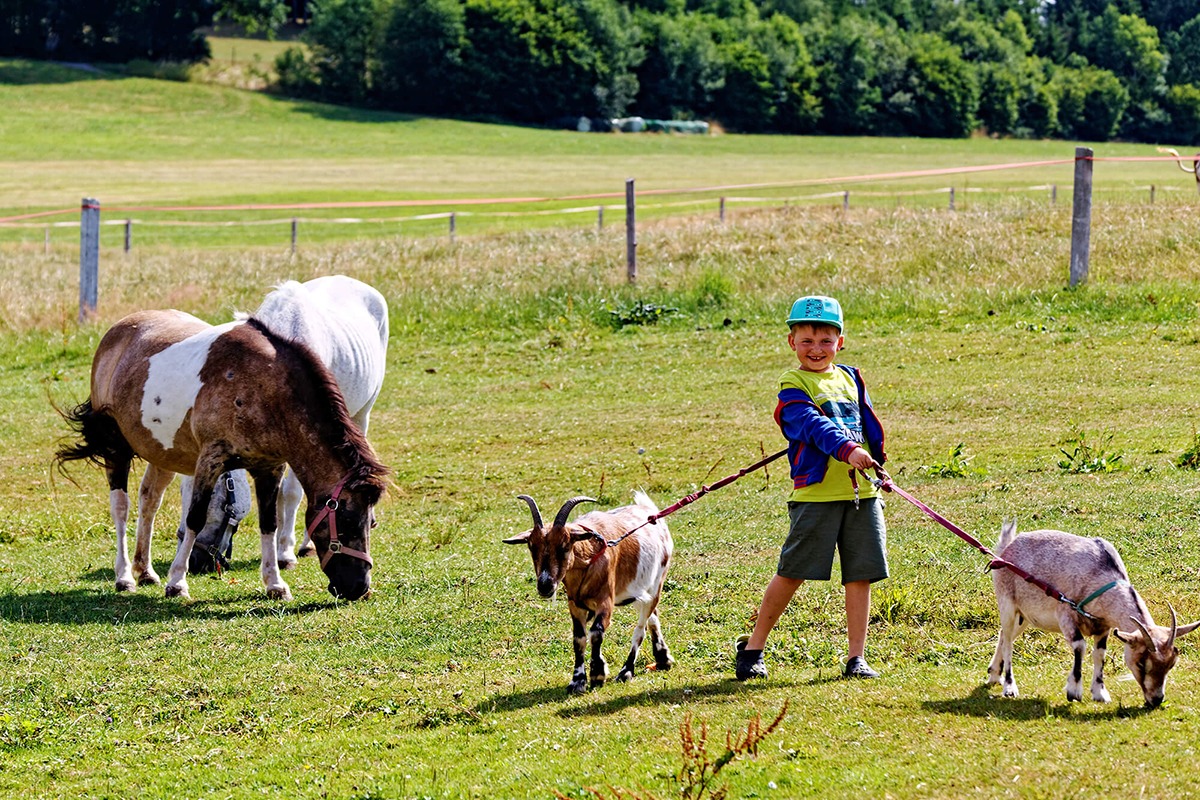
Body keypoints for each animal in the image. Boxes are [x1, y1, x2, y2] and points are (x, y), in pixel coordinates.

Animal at [504, 492, 674, 695]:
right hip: (637, 591)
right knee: (653, 616)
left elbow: (596, 632)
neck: (589, 556)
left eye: (564, 546)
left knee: (641, 628)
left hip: (656, 584)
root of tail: (650, 511)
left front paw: (598, 674)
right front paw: (577, 681)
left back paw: (626, 671)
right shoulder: (575, 605)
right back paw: (663, 658)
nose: (545, 585)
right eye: (531, 546)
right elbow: (579, 638)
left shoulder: (605, 602)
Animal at [988, 520, 1200, 707]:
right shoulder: (1066, 614)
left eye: (1171, 664)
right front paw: (1074, 691)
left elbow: (1100, 654)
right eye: (1141, 663)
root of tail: (1007, 546)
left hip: (1025, 616)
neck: (1099, 573)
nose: (1156, 700)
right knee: (1008, 641)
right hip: (1007, 603)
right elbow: (1080, 646)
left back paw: (994, 674)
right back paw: (1009, 687)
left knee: (1005, 635)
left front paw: (1100, 693)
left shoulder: (1103, 625)